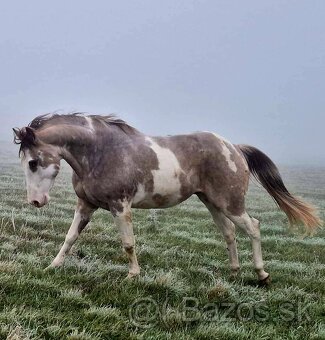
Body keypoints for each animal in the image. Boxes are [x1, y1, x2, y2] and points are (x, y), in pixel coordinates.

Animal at [13, 113, 322, 284]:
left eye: (33, 162)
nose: (36, 202)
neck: (100, 152)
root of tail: (234, 147)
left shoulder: (120, 206)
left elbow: (128, 243)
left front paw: (133, 275)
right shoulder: (85, 205)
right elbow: (70, 238)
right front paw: (52, 266)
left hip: (230, 203)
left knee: (253, 227)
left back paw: (262, 274)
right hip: (212, 203)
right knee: (229, 233)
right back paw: (234, 272)